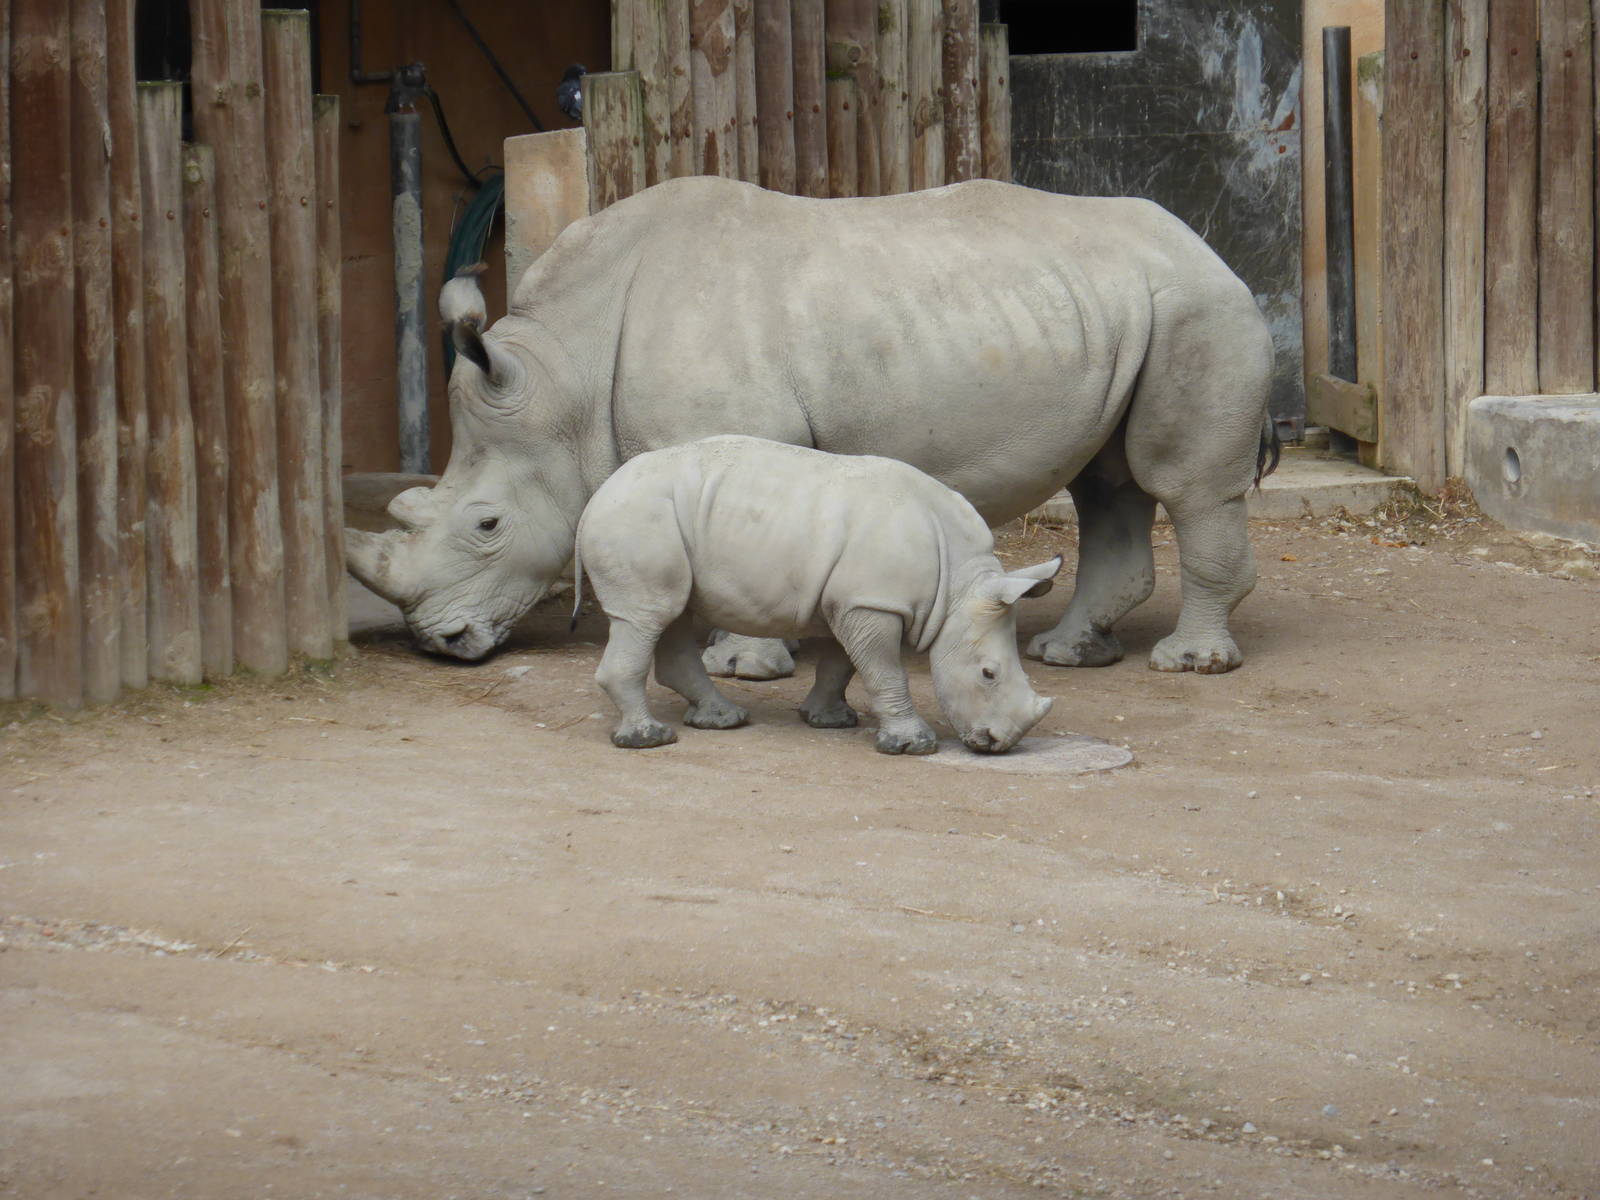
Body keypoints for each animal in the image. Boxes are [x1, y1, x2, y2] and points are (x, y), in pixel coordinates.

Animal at [345, 177, 1276, 675]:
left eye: (487, 524)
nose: (439, 642)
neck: (563, 383)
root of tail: (1209, 246)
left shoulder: (737, 441)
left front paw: (738, 667)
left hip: (1199, 307)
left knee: (1181, 483)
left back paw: (1189, 663)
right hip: (1120, 309)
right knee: (1108, 482)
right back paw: (1068, 654)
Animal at [573, 436, 1061, 754]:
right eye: (988, 674)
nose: (1000, 744)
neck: (958, 588)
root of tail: (596, 497)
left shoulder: (852, 601)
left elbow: (841, 665)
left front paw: (828, 721)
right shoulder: (872, 602)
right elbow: (885, 672)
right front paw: (912, 744)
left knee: (670, 613)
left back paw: (723, 720)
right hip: (637, 517)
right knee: (647, 616)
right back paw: (649, 740)